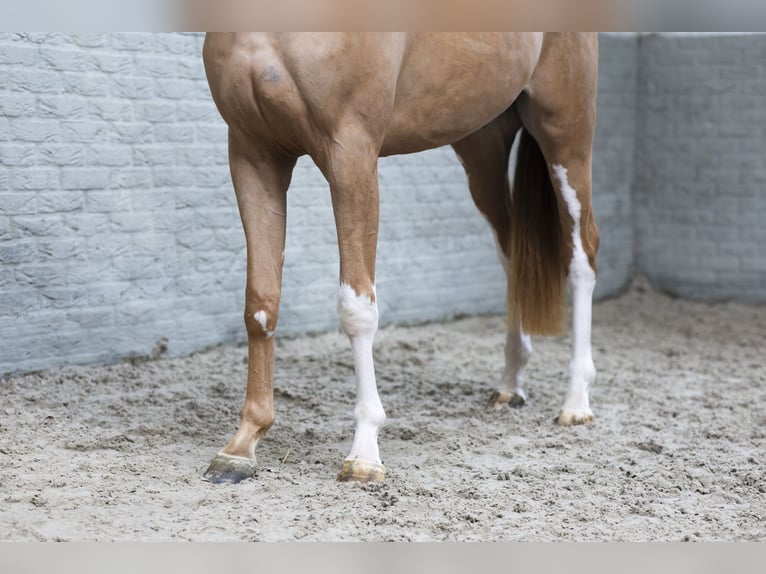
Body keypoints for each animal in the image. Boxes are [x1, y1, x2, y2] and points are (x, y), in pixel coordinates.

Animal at [201, 33, 600, 484]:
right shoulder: (253, 153)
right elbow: (260, 304)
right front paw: (241, 447)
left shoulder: (351, 154)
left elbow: (357, 308)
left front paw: (364, 454)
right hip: (482, 147)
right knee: (512, 252)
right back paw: (511, 384)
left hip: (565, 131)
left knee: (580, 256)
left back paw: (576, 402)